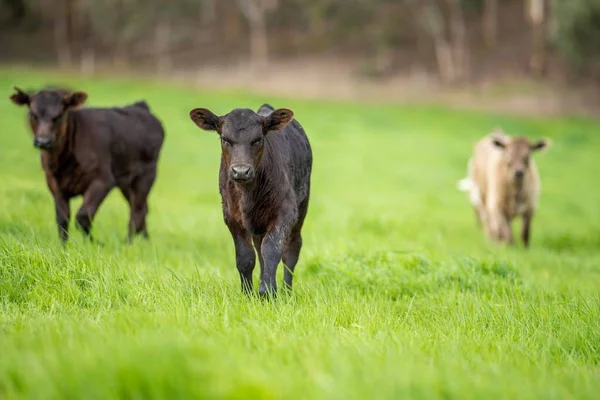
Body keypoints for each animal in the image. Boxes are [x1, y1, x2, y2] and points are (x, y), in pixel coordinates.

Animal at [11, 86, 165, 244]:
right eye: (32, 114)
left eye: (59, 115)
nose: (43, 141)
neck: (63, 161)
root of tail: (140, 107)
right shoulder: (53, 182)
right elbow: (62, 218)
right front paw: (63, 247)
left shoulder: (103, 180)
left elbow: (83, 216)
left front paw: (96, 244)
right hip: (125, 181)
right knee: (142, 207)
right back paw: (145, 241)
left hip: (146, 175)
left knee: (137, 210)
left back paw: (128, 243)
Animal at [191, 103, 314, 296]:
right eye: (224, 139)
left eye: (258, 139)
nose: (241, 171)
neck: (249, 194)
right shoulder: (231, 216)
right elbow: (246, 257)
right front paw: (248, 293)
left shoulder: (285, 212)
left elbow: (272, 249)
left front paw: (268, 291)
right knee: (259, 247)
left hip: (301, 207)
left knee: (292, 249)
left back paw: (286, 291)